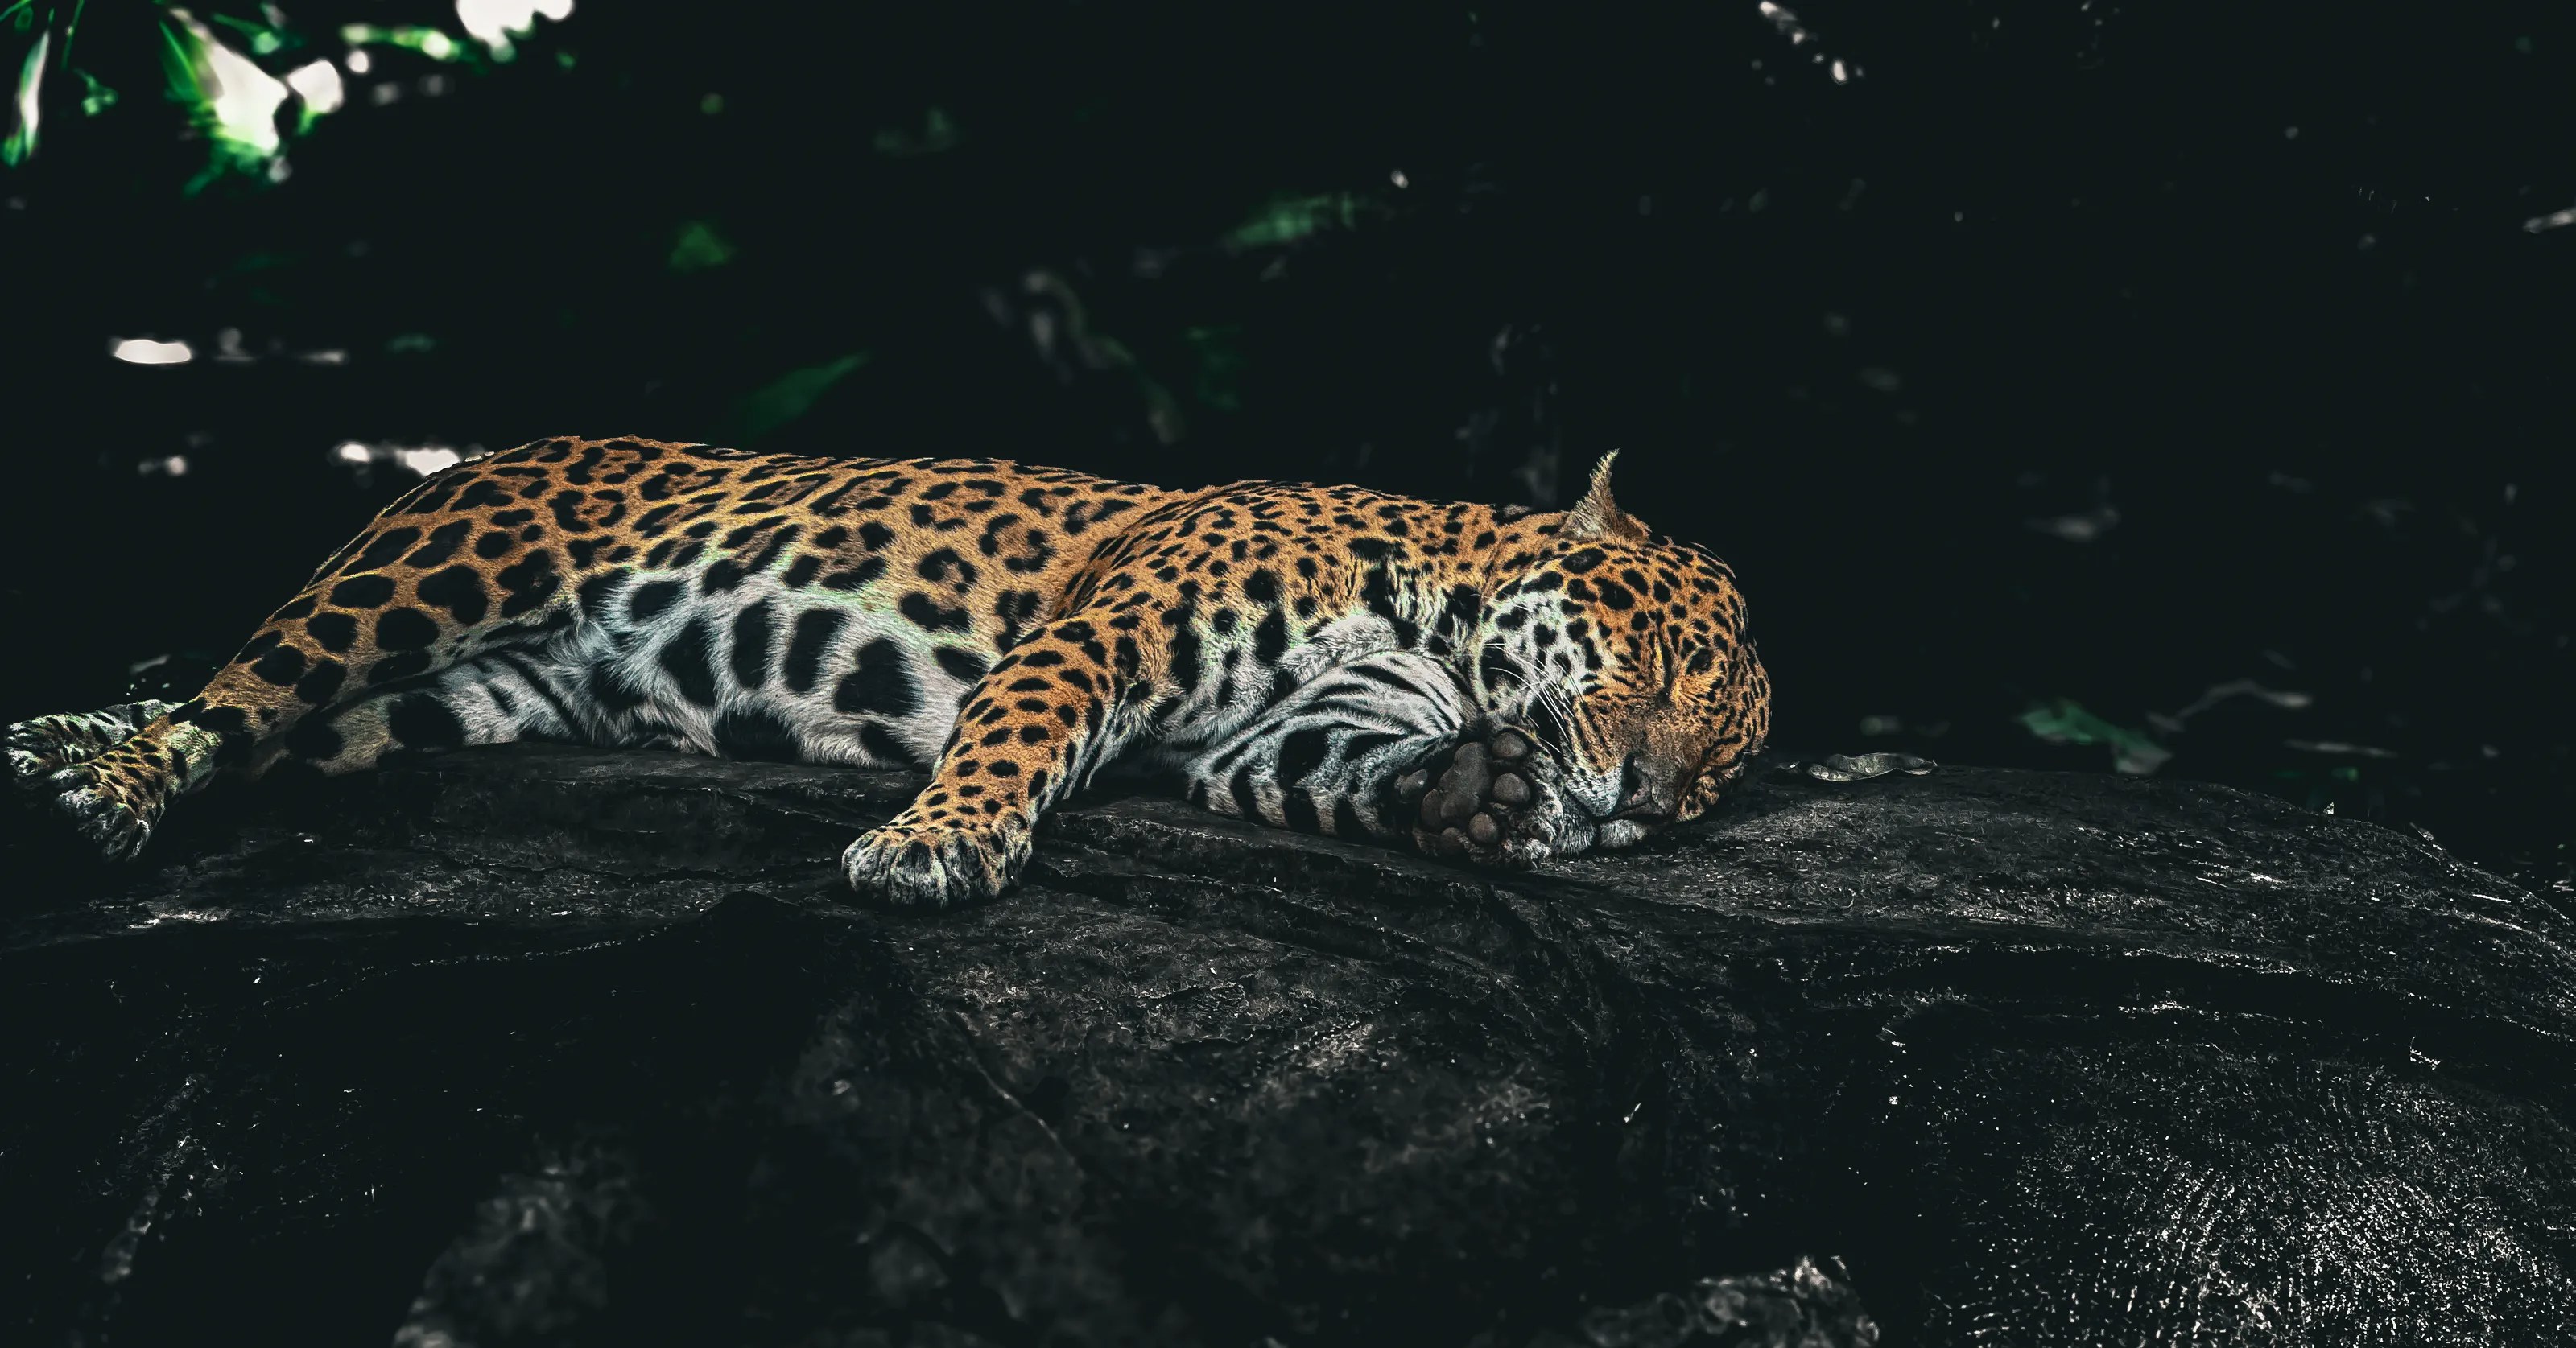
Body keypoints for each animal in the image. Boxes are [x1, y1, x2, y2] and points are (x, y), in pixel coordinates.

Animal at [7, 438, 1770, 907]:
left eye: (1714, 788)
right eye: (1659, 657)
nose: (1641, 803)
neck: (1426, 606)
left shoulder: (1288, 733)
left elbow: (1356, 774)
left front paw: (1486, 800)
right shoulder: (1099, 633)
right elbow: (1015, 733)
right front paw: (937, 842)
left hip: (447, 703)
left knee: (255, 719)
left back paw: (54, 745)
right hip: (431, 571)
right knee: (232, 693)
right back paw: (101, 793)